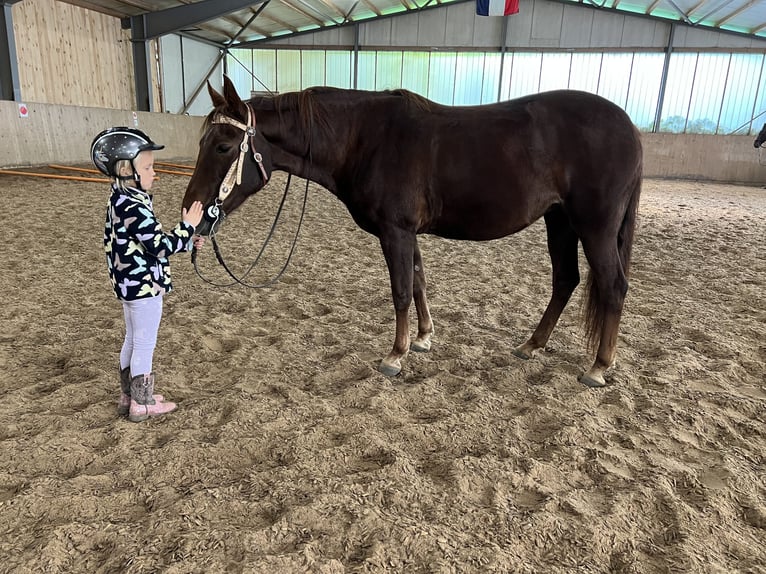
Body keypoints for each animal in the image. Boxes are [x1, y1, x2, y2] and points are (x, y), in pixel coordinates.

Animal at [184, 76, 640, 390]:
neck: (363, 138)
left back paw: (598, 367)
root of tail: (628, 126)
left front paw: (396, 355)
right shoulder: (408, 234)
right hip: (559, 221)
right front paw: (423, 338)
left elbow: (401, 290)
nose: (192, 217)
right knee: (566, 280)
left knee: (612, 285)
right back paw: (532, 345)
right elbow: (419, 281)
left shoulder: (395, 231)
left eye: (224, 147)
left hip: (594, 226)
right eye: (202, 142)